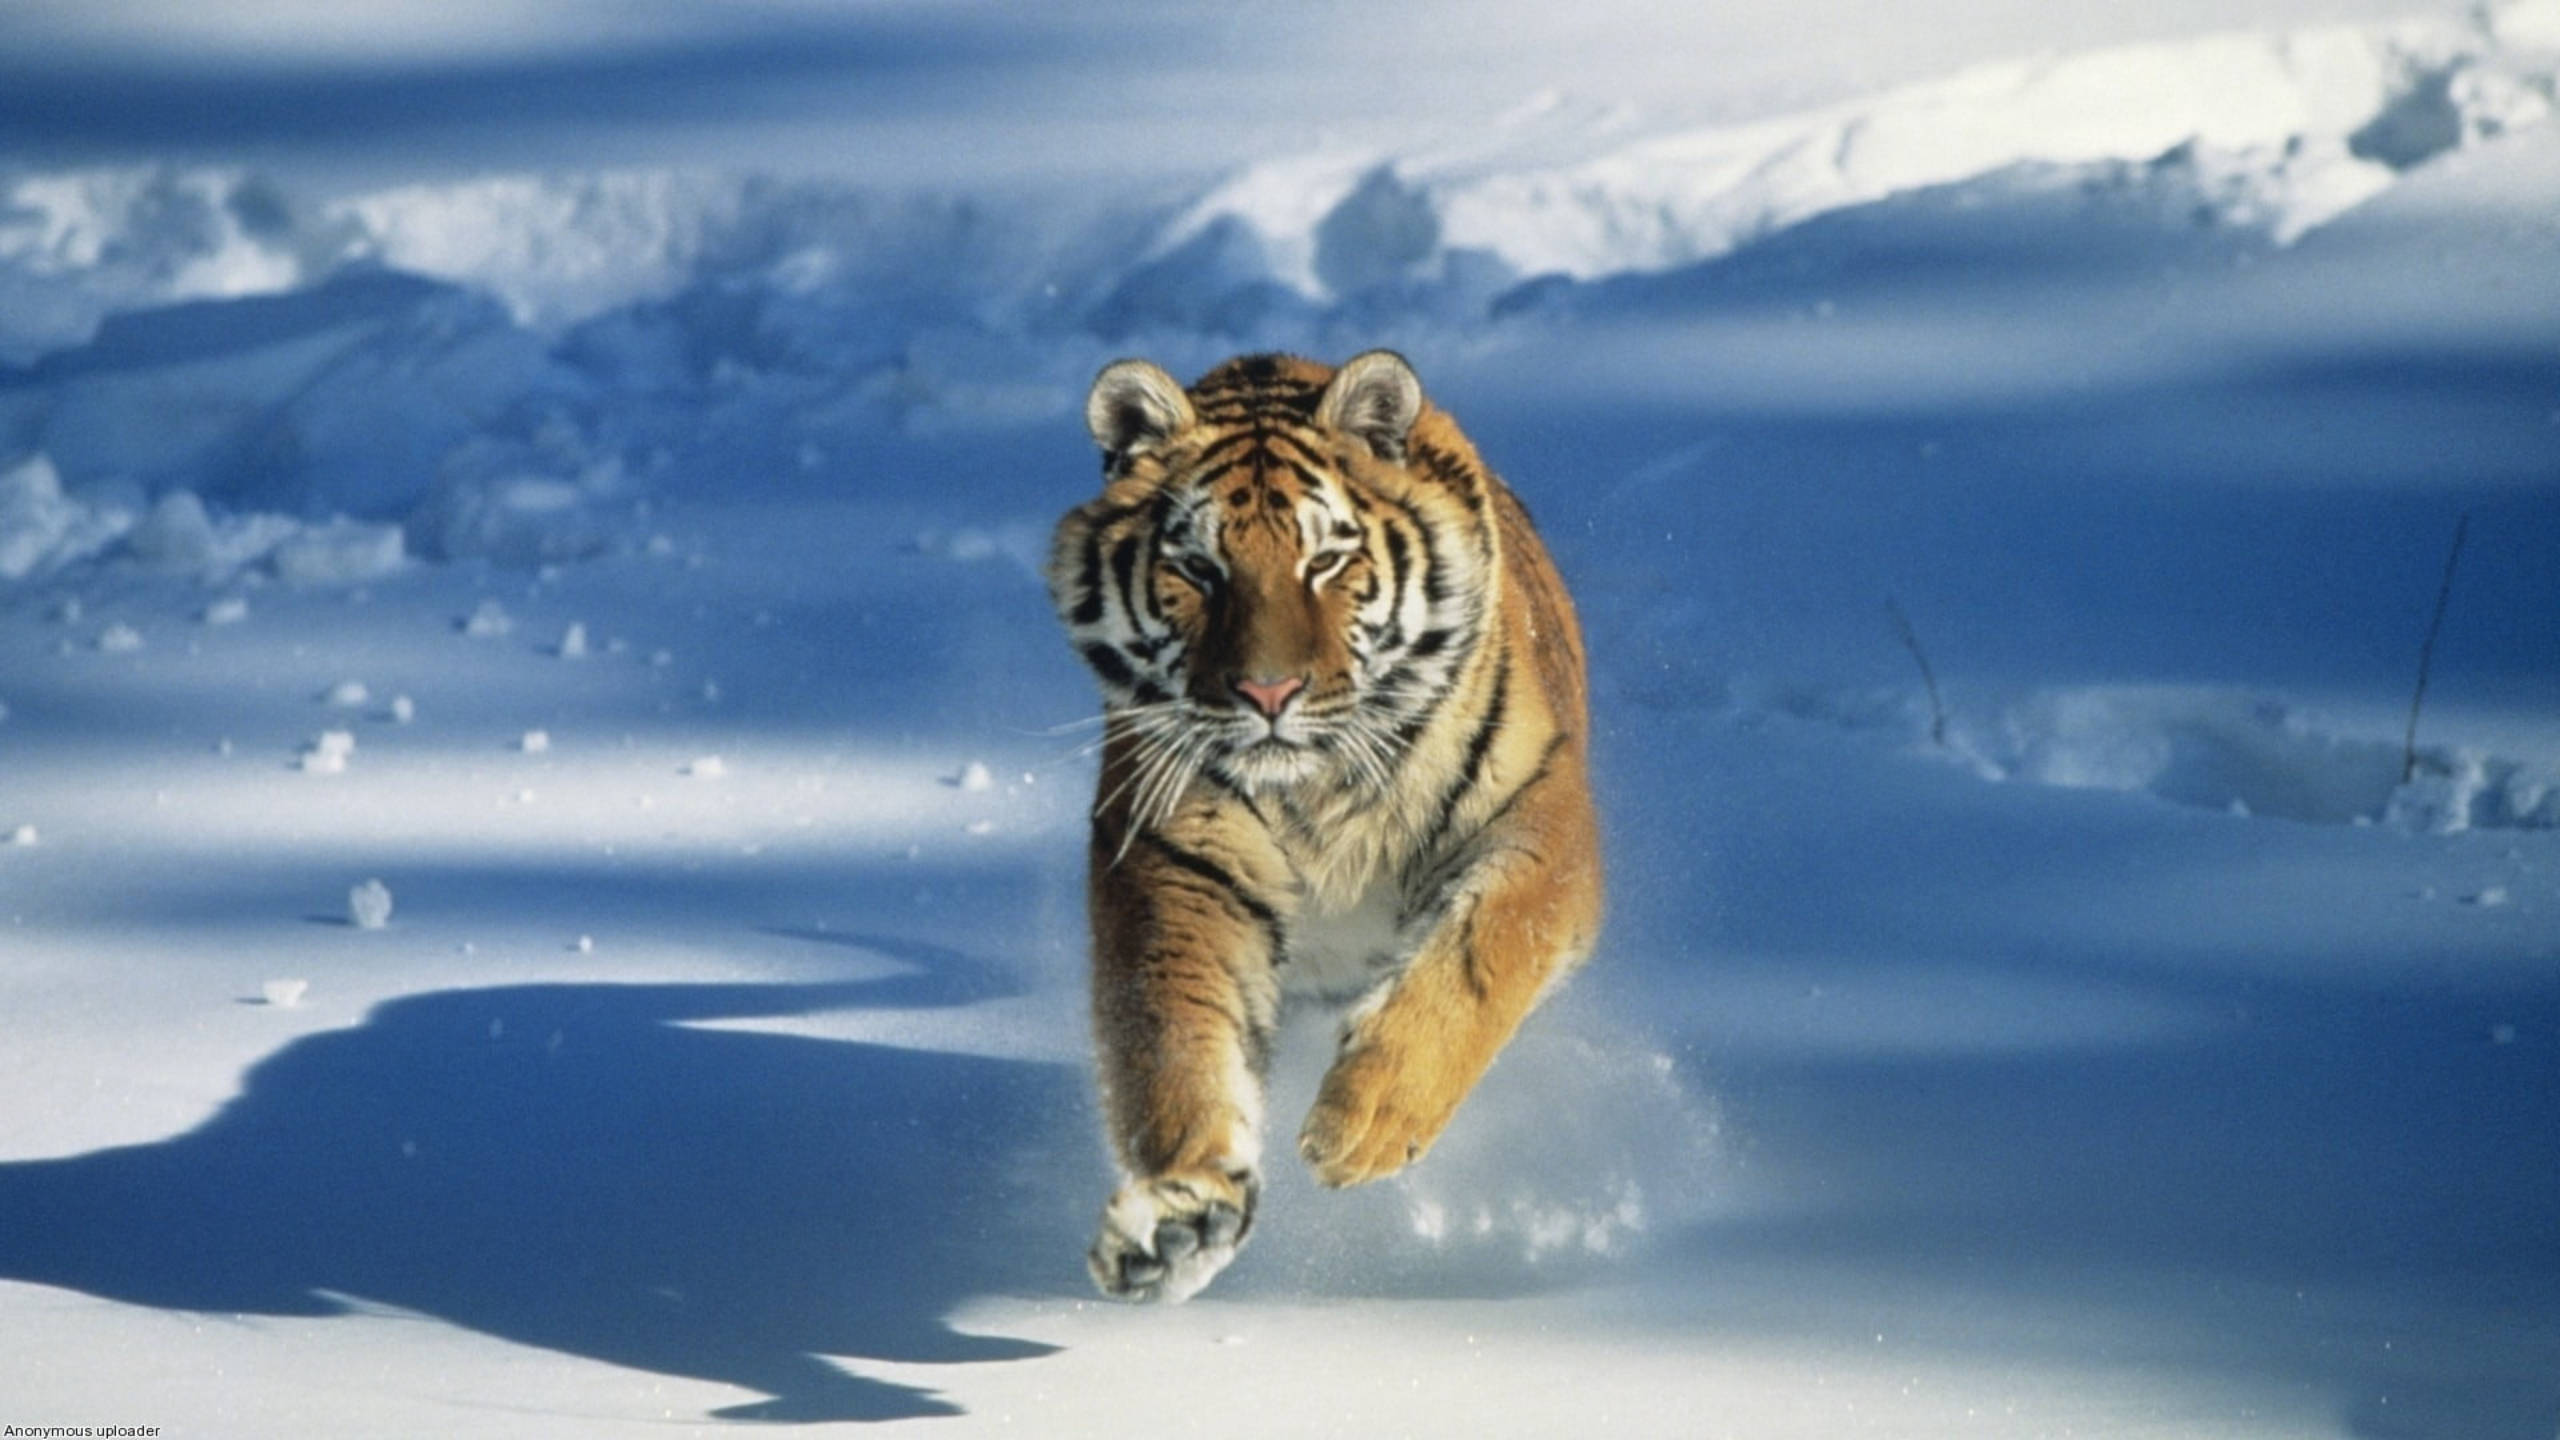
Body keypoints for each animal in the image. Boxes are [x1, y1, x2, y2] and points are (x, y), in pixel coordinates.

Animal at [1048, 350, 1602, 1303]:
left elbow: (1483, 954)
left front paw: (1366, 1121)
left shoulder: (1542, 819)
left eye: (1327, 561)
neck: (1318, 791)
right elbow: (1175, 1041)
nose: (1268, 693)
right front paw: (1180, 1220)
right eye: (1199, 568)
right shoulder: (1176, 861)